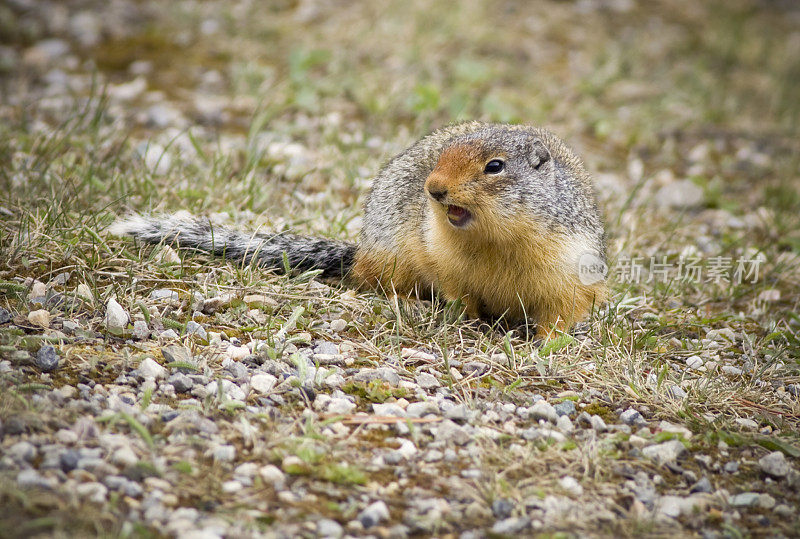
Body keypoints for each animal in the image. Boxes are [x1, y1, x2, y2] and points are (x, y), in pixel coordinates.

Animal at [114, 124, 608, 340]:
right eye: (441, 155)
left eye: (495, 166)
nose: (433, 188)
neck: (497, 242)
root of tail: (361, 249)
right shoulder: (442, 259)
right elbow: (458, 292)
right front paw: (464, 318)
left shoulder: (571, 266)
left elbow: (563, 311)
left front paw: (546, 343)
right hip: (392, 254)